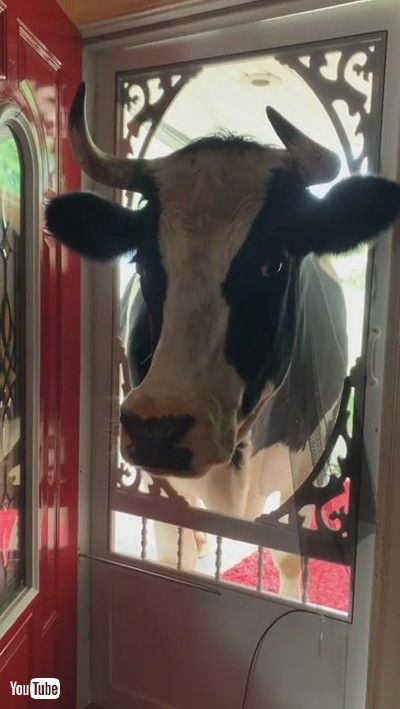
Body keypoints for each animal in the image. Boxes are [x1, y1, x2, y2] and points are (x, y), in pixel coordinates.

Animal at [46, 82, 400, 598]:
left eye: (273, 263)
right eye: (142, 262)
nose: (156, 429)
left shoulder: (302, 468)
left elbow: (289, 558)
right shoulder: (164, 485)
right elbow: (176, 555)